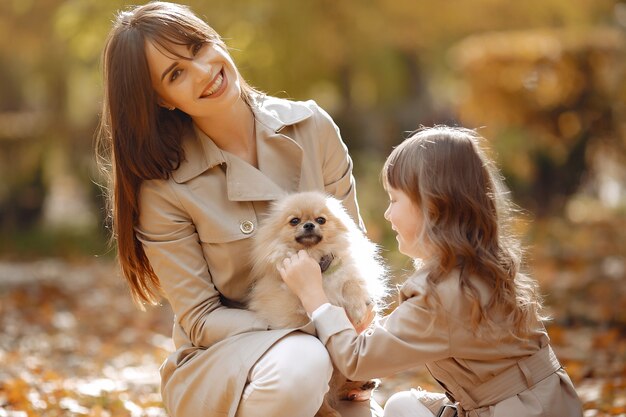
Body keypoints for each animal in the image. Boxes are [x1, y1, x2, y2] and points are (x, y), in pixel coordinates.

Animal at [247, 191, 386, 416]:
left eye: (321, 220)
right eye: (294, 221)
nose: (309, 225)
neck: (317, 262)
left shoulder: (347, 272)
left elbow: (352, 284)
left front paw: (357, 310)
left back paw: (358, 385)